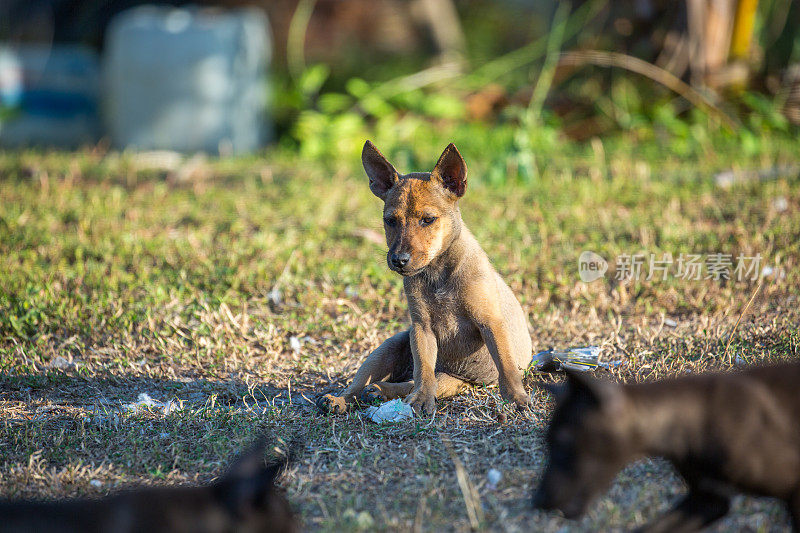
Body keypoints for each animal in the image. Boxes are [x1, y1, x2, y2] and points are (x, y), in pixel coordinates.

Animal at [316, 139, 536, 414]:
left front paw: (516, 397)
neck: (439, 272)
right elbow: (423, 370)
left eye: (428, 220)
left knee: (416, 382)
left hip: (449, 380)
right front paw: (421, 400)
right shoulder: (421, 329)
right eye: (390, 221)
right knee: (368, 383)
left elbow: (506, 366)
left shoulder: (490, 323)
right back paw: (344, 399)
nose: (399, 260)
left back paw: (380, 391)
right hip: (388, 347)